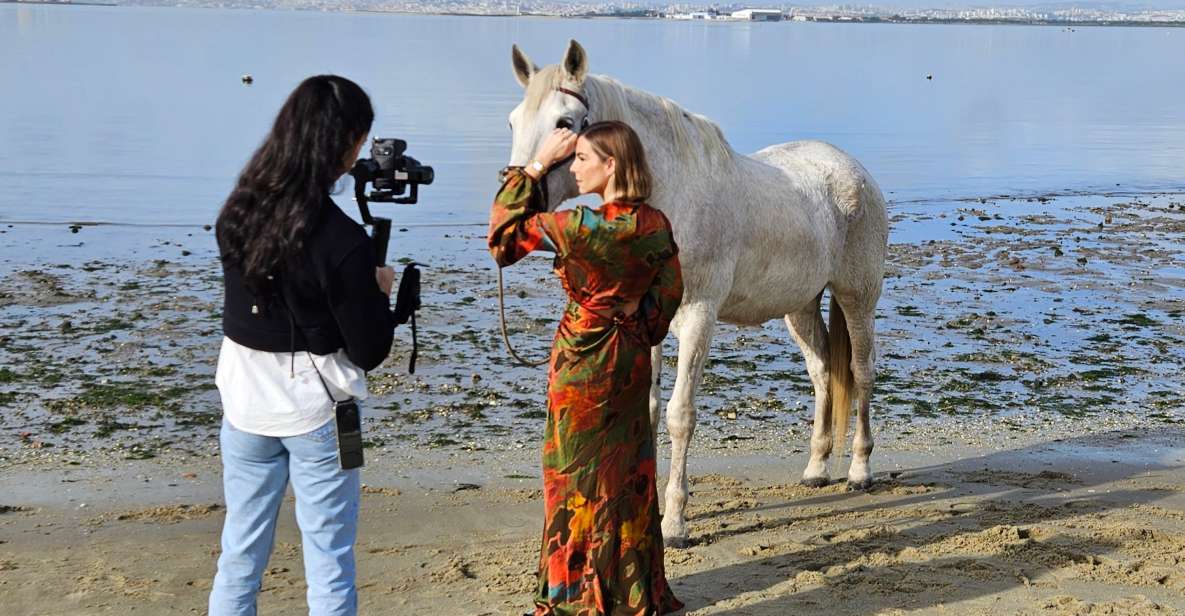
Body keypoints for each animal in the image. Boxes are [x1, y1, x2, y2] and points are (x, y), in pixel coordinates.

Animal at [504, 40, 886, 547]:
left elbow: (679, 414)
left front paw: (674, 525)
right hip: (801, 306)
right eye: (513, 121)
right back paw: (817, 468)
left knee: (860, 374)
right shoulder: (648, 320)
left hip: (856, 297)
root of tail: (853, 169)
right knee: (824, 371)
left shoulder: (698, 317)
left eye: (565, 123)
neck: (672, 198)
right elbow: (647, 408)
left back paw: (860, 469)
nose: (520, 199)